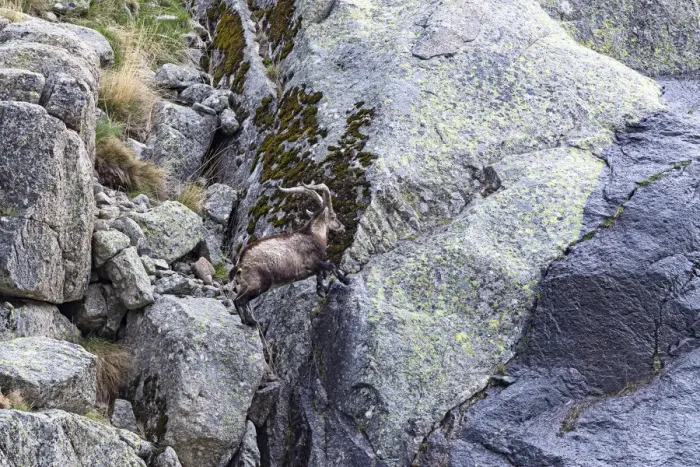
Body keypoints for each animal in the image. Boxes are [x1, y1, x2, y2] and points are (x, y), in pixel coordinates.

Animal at [230, 183, 349, 325]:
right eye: (333, 216)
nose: (342, 227)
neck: (313, 235)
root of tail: (241, 261)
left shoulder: (314, 267)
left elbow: (320, 274)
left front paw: (321, 290)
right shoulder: (312, 262)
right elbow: (330, 265)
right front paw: (345, 280)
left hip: (244, 285)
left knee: (236, 299)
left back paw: (246, 321)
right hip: (260, 283)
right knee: (240, 300)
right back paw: (250, 321)